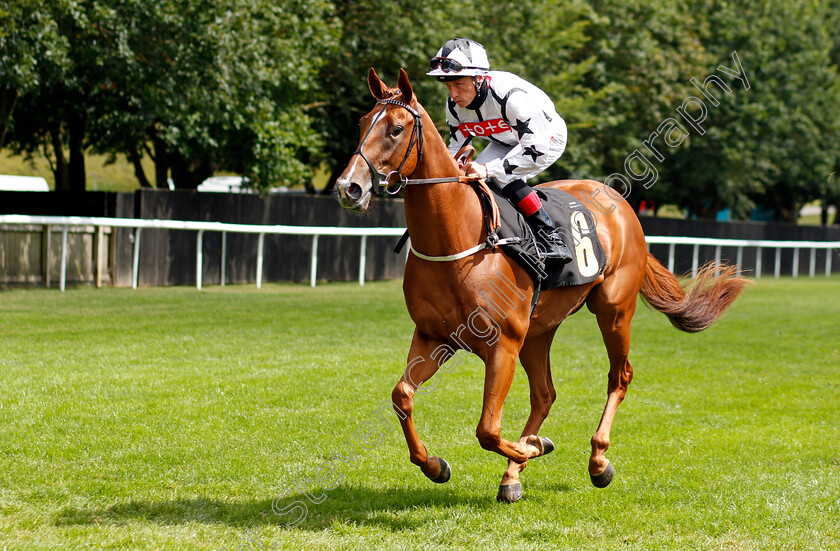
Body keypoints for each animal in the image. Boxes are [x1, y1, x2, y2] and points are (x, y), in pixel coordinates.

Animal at [334, 67, 748, 502]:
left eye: (396, 129)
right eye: (363, 123)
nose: (349, 188)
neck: (458, 240)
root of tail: (619, 201)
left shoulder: (502, 345)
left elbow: (487, 429)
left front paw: (535, 446)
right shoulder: (434, 337)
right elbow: (402, 397)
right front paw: (435, 464)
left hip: (613, 310)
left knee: (619, 376)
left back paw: (596, 460)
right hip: (539, 331)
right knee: (545, 394)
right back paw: (514, 473)